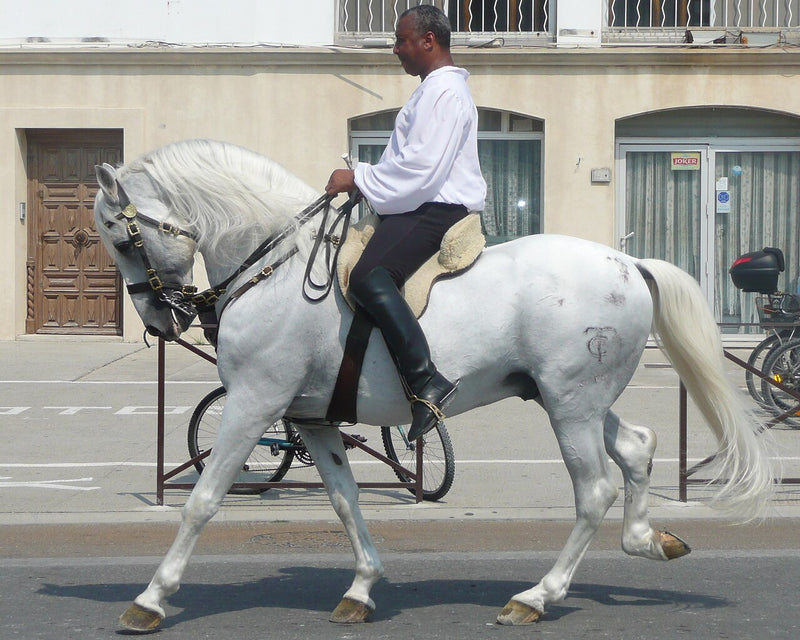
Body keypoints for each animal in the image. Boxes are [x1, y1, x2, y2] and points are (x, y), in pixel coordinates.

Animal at [92, 139, 774, 632]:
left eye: (120, 236)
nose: (160, 320)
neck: (277, 268)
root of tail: (627, 262)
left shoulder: (254, 403)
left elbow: (203, 499)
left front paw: (151, 598)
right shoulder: (313, 419)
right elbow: (345, 500)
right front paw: (362, 587)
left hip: (571, 406)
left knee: (594, 490)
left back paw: (537, 595)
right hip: (567, 397)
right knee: (635, 447)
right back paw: (644, 541)